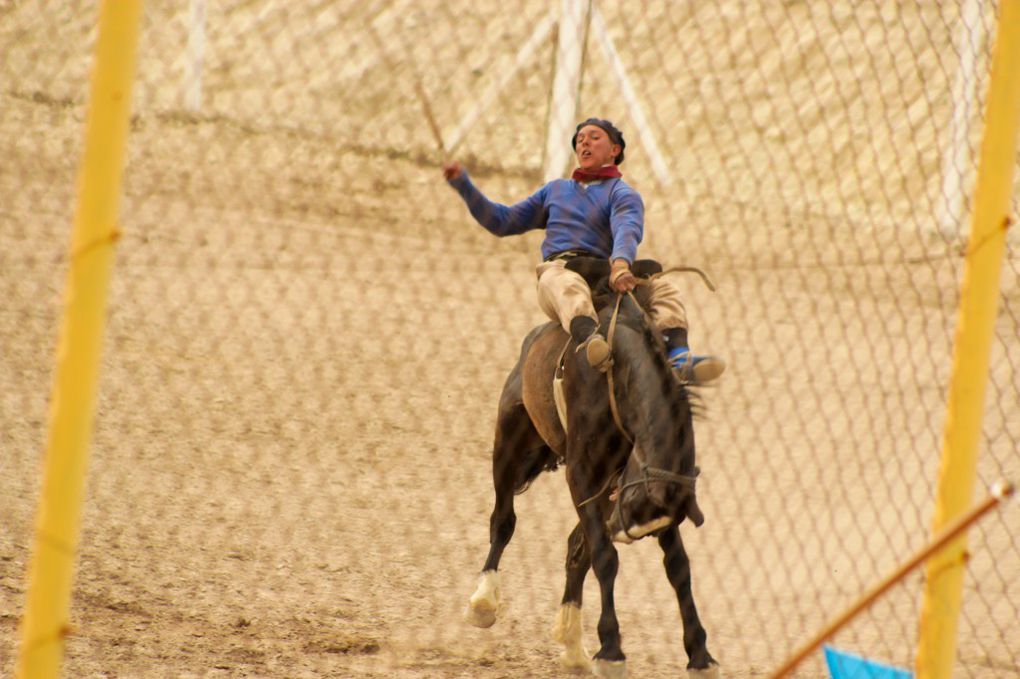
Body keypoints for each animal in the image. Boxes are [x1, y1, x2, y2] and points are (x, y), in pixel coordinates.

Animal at [465, 256, 718, 672]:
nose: (621, 529)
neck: (619, 375)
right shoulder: (582, 476)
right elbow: (604, 557)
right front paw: (611, 649)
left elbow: (677, 566)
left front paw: (700, 655)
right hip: (510, 439)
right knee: (503, 521)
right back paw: (484, 601)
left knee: (575, 548)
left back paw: (571, 643)